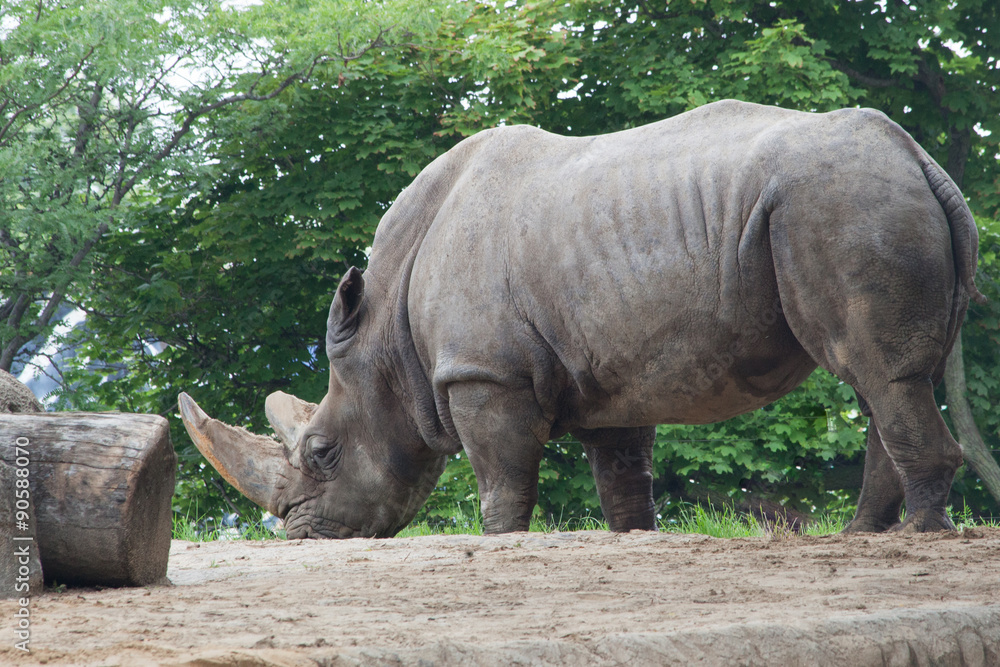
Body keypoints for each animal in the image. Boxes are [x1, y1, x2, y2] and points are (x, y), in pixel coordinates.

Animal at [178, 100, 984, 538]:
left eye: (322, 452)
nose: (298, 534)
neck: (384, 336)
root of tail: (920, 157)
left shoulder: (483, 375)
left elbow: (502, 483)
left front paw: (501, 542)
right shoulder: (615, 374)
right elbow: (623, 486)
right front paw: (635, 539)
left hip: (842, 203)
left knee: (876, 371)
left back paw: (918, 534)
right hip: (852, 198)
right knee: (879, 380)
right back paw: (864, 534)